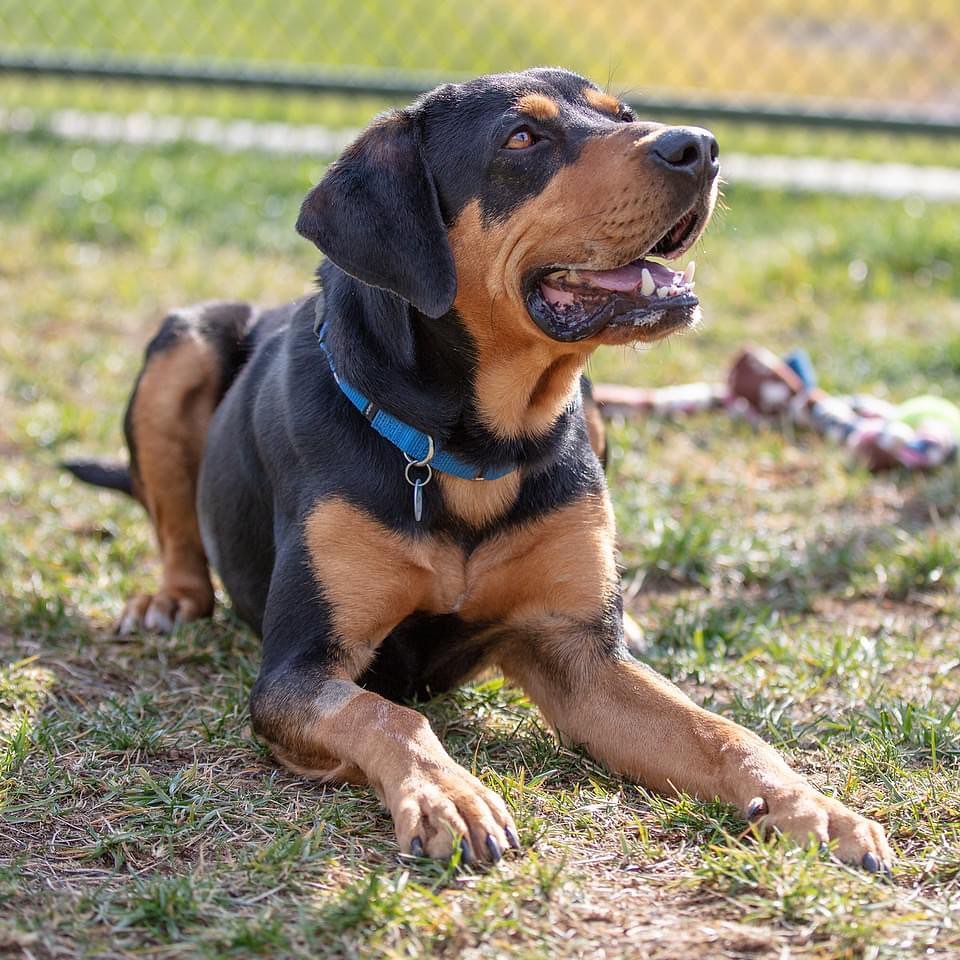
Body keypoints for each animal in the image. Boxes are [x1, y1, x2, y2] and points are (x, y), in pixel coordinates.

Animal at [65, 63, 892, 868]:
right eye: (521, 137)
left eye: (622, 115)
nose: (700, 147)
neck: (472, 449)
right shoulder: (297, 671)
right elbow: (387, 714)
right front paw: (448, 796)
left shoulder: (577, 659)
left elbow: (719, 731)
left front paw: (810, 805)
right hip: (183, 339)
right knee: (177, 526)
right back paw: (167, 600)